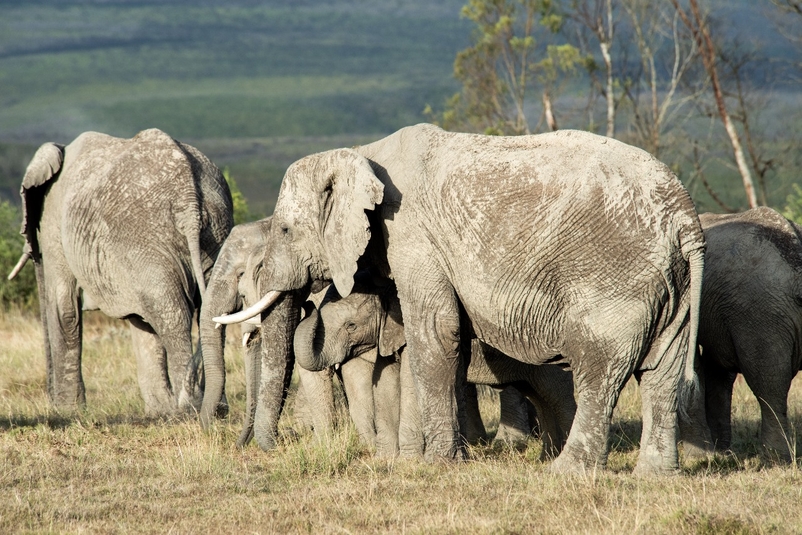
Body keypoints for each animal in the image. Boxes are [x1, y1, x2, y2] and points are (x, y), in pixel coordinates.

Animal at [8, 127, 231, 416]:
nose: (50, 400)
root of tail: (189, 201)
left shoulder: (55, 217)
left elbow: (64, 307)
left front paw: (69, 412)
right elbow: (141, 322)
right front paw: (159, 413)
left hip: (147, 237)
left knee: (171, 312)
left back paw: (190, 408)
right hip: (213, 230)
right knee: (207, 308)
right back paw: (214, 408)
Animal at [294, 274, 576, 458]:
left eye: (351, 326)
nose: (306, 304)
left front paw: (409, 460)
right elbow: (384, 382)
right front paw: (385, 460)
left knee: (559, 395)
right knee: (542, 399)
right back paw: (547, 457)